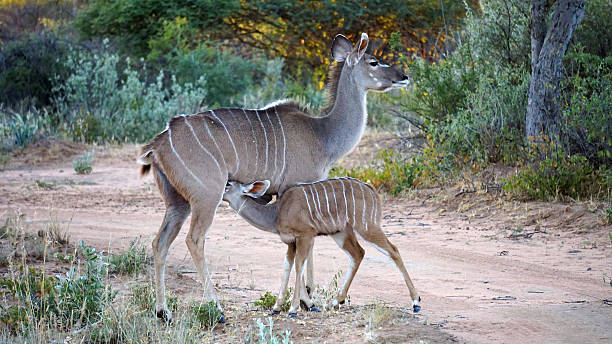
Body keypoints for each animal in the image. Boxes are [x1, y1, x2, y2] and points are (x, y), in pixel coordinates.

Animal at [224, 177, 420, 318]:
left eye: (228, 185)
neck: (278, 212)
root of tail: (372, 191)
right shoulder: (291, 242)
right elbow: (288, 266)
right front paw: (277, 307)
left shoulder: (306, 235)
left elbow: (299, 266)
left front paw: (294, 308)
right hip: (341, 232)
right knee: (358, 253)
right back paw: (335, 301)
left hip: (367, 227)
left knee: (393, 250)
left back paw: (416, 302)